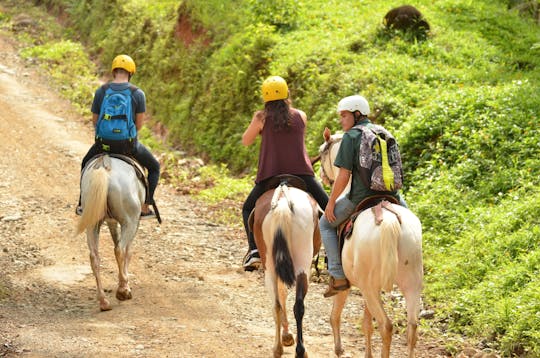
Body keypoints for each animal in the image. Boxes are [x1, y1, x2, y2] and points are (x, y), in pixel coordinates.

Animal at [252, 180, 322, 356]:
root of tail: (283, 204)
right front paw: (288, 336)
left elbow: (282, 294)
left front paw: (286, 335)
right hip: (302, 264)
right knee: (298, 305)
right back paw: (299, 350)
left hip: (270, 267)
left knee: (277, 304)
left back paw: (278, 348)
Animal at [318, 128, 424, 356]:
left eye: (322, 152)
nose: (322, 176)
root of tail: (389, 220)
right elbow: (367, 323)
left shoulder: (345, 284)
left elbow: (335, 315)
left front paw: (339, 348)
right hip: (410, 283)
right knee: (412, 328)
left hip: (369, 287)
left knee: (386, 326)